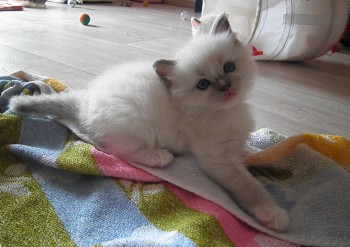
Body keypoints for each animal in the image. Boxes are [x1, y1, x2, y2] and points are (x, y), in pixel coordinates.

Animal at [10, 14, 290, 232]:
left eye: (229, 67)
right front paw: (272, 213)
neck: (226, 110)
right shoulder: (217, 158)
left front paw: (249, 152)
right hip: (136, 126)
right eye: (203, 85)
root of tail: (84, 100)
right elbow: (248, 186)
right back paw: (159, 157)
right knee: (116, 151)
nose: (225, 87)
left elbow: (244, 151)